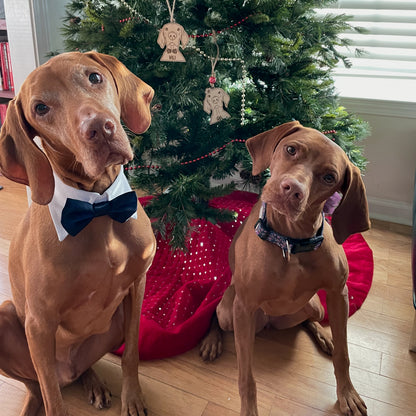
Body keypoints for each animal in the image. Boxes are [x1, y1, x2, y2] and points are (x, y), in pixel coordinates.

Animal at [200, 120, 368, 416]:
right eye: (291, 150)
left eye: (329, 177)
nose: (292, 189)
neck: (290, 241)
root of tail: (270, 323)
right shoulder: (244, 307)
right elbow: (246, 377)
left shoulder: (339, 294)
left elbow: (344, 355)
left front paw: (347, 393)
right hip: (231, 312)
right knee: (216, 315)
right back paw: (211, 340)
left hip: (315, 305)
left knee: (309, 320)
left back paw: (324, 336)